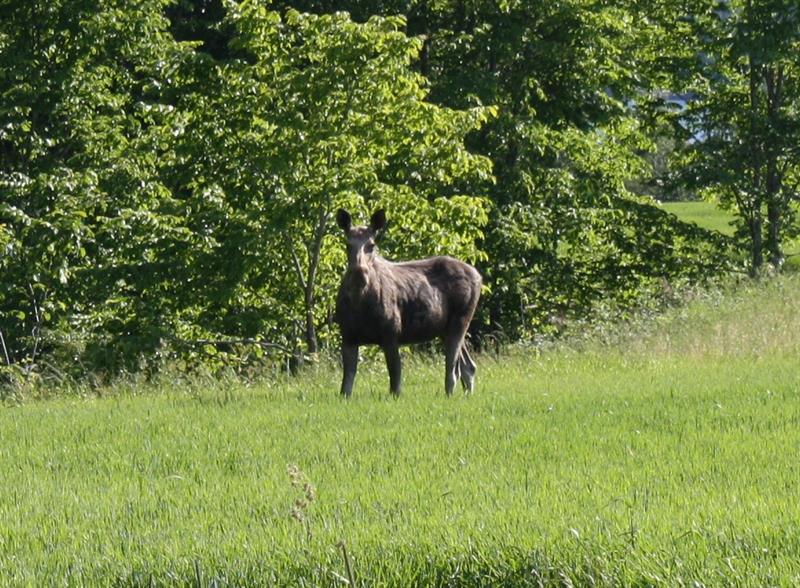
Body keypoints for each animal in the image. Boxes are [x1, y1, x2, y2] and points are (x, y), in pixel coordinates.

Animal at [332, 209, 478, 398]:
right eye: (347, 244)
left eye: (372, 245)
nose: (359, 274)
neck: (359, 304)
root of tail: (479, 276)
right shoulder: (348, 337)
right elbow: (346, 387)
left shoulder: (391, 333)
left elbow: (395, 380)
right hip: (444, 329)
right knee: (469, 366)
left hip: (459, 321)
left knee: (453, 371)